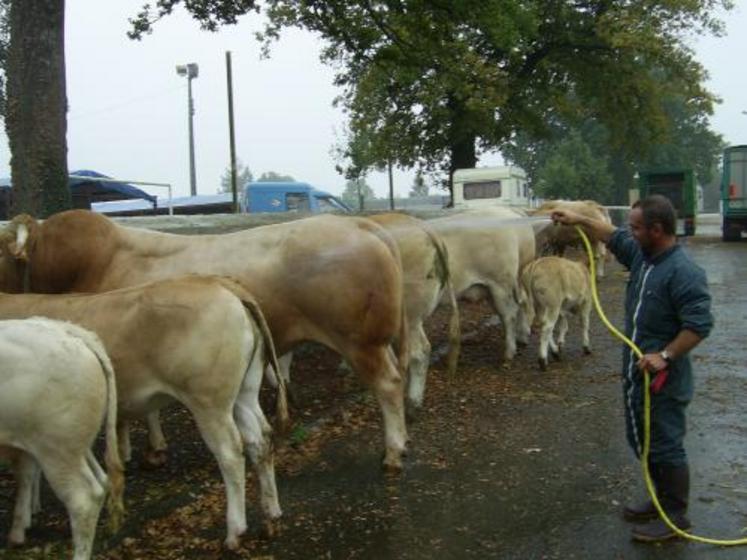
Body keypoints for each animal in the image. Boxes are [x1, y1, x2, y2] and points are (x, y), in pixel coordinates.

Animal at [0, 212, 410, 470]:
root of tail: (361, 224)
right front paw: (150, 449)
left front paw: (141, 450)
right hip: (377, 340)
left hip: (361, 342)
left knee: (389, 385)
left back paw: (393, 453)